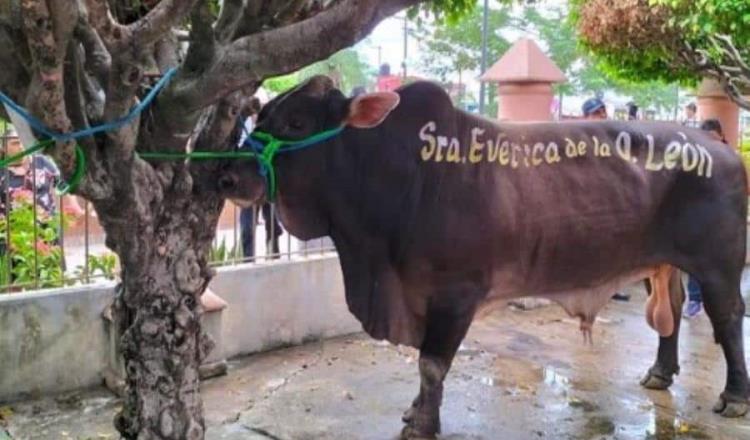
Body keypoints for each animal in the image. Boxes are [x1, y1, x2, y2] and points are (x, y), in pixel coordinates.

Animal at [220, 77, 748, 438]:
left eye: (296, 123)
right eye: (261, 115)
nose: (227, 176)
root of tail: (719, 148)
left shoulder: (454, 295)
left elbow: (432, 365)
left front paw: (421, 423)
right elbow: (426, 368)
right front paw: (416, 410)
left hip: (719, 266)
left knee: (727, 318)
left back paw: (735, 396)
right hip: (663, 264)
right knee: (669, 315)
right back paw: (660, 373)